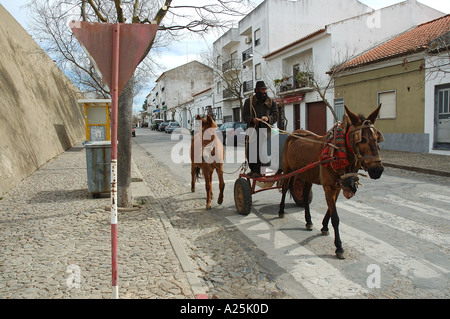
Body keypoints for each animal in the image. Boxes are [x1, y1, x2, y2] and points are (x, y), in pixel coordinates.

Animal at [280, 105, 384, 260]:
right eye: (363, 139)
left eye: (377, 138)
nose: (378, 170)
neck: (337, 152)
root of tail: (294, 133)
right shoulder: (328, 187)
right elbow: (335, 217)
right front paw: (339, 247)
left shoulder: (339, 186)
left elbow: (331, 209)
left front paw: (324, 226)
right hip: (287, 170)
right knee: (285, 188)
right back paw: (281, 211)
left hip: (307, 174)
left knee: (305, 195)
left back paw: (308, 221)